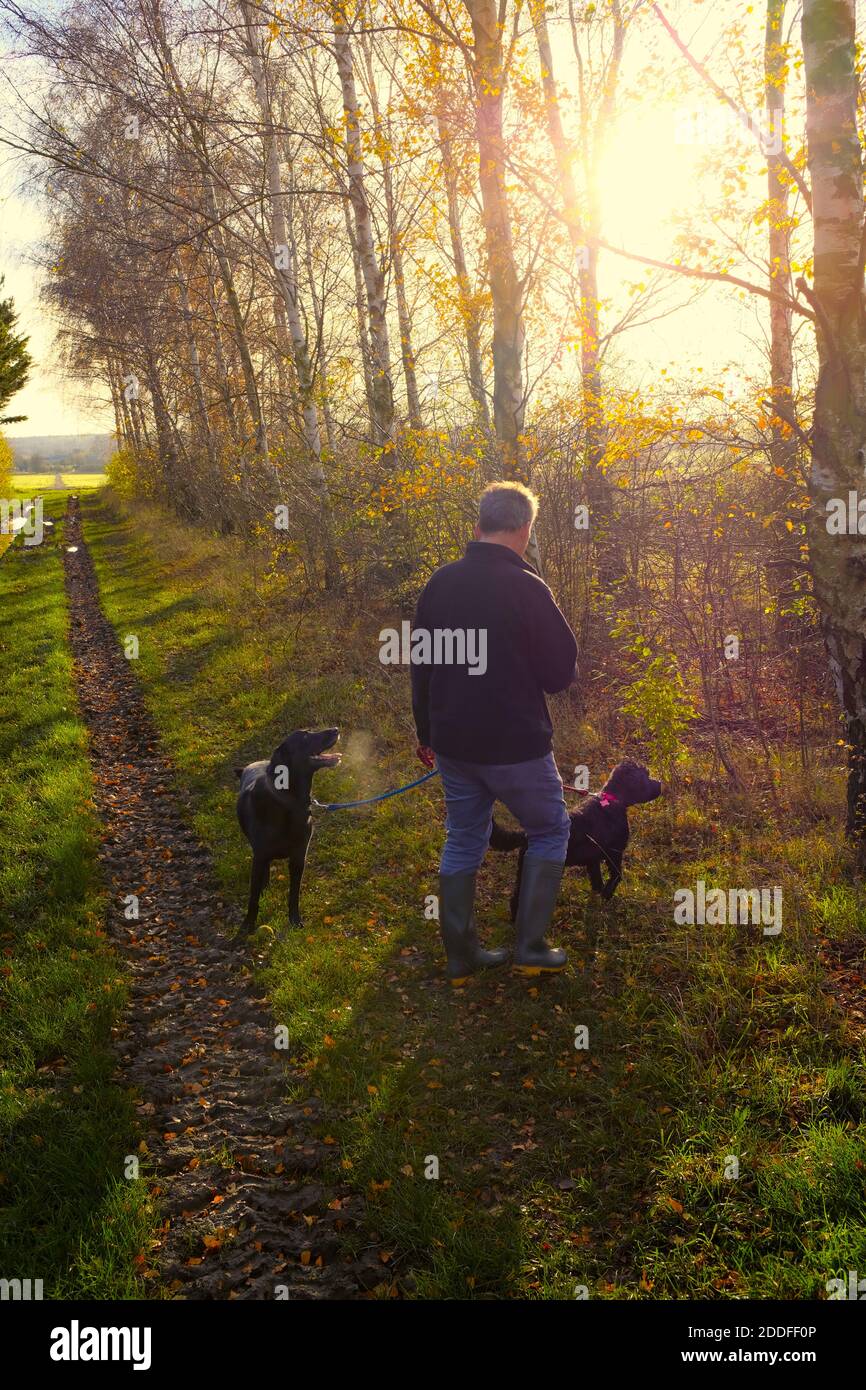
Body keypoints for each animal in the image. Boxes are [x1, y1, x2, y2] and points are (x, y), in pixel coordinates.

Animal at [233, 728, 341, 945]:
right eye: (306, 736)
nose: (336, 729)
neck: (289, 801)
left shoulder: (299, 857)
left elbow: (294, 894)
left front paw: (295, 921)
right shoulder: (260, 857)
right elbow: (253, 898)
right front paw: (246, 927)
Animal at [489, 756, 664, 917]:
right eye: (645, 776)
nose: (660, 783)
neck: (613, 800)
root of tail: (526, 835)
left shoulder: (593, 859)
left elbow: (597, 880)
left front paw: (598, 897)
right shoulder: (614, 852)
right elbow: (616, 875)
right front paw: (607, 894)